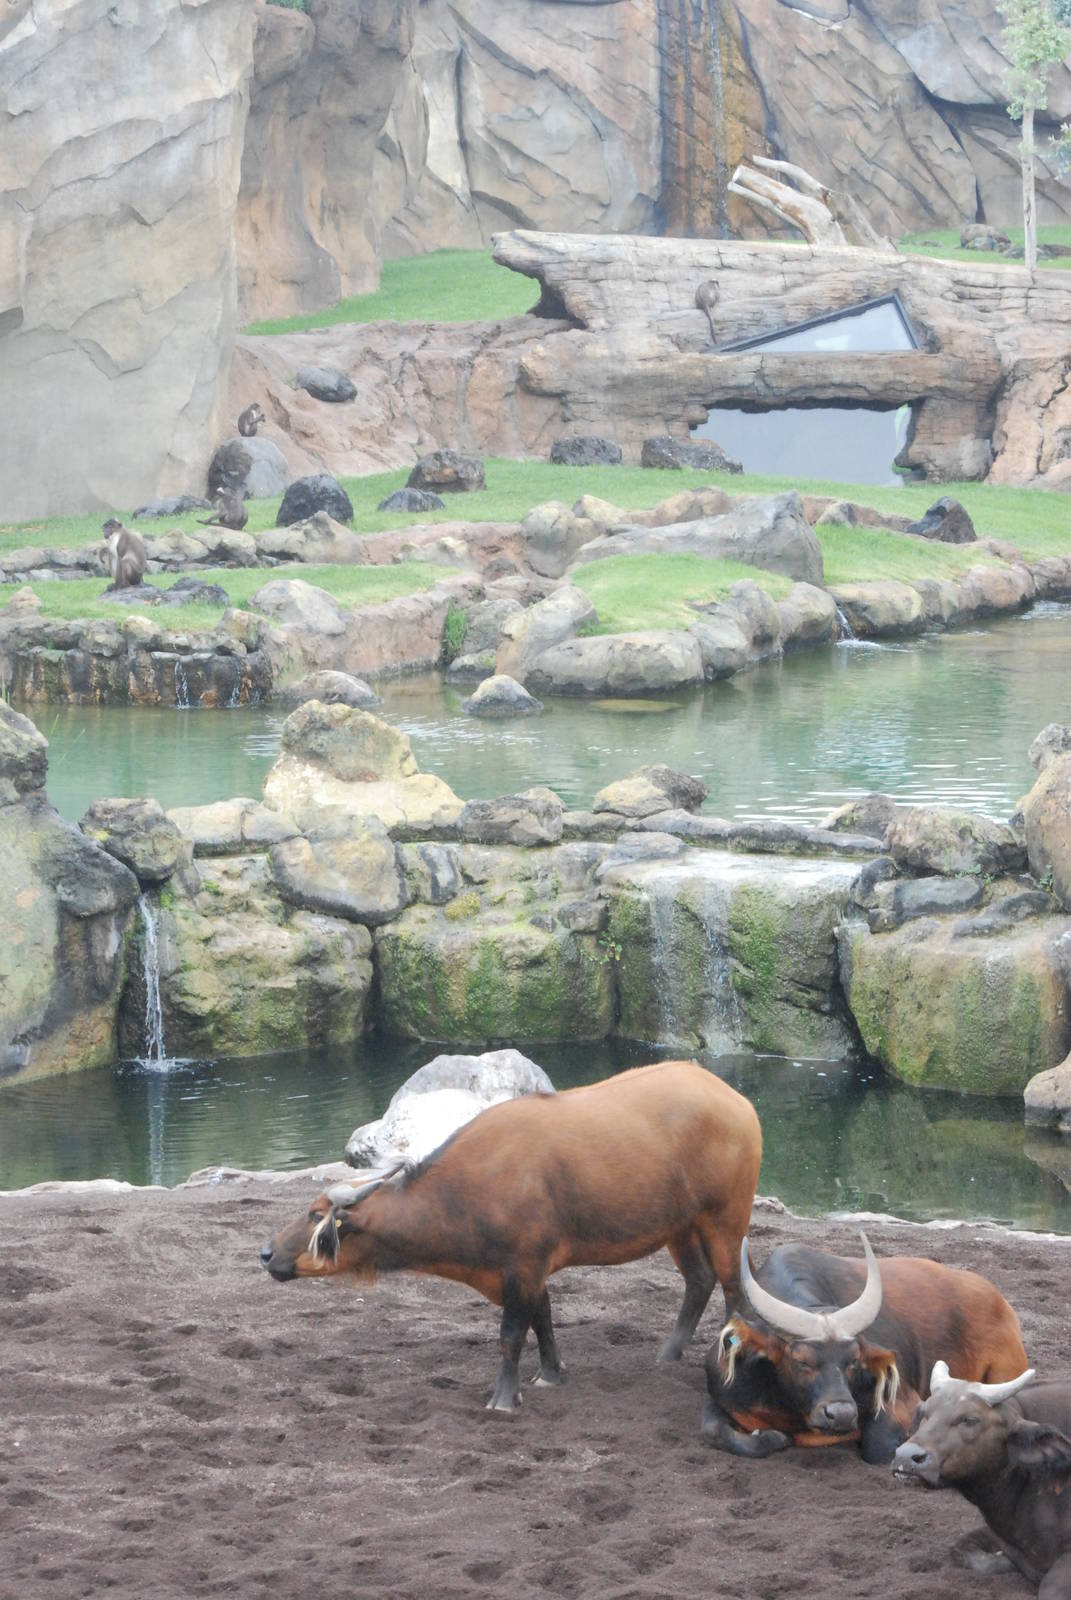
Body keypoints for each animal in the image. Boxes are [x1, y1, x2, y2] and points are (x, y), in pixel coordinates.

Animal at [261, 1060, 762, 1413]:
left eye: (314, 1215)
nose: (266, 1253)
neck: (466, 1191)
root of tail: (739, 1103)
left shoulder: (523, 1265)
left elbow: (511, 1335)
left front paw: (504, 1399)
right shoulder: (524, 1273)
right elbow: (544, 1318)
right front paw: (551, 1374)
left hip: (726, 1217)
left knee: (734, 1289)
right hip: (681, 1225)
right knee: (698, 1281)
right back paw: (668, 1353)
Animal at [701, 1234, 1028, 1462]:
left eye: (853, 1361)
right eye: (802, 1360)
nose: (842, 1414)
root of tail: (997, 1300)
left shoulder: (901, 1399)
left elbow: (880, 1446)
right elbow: (714, 1430)